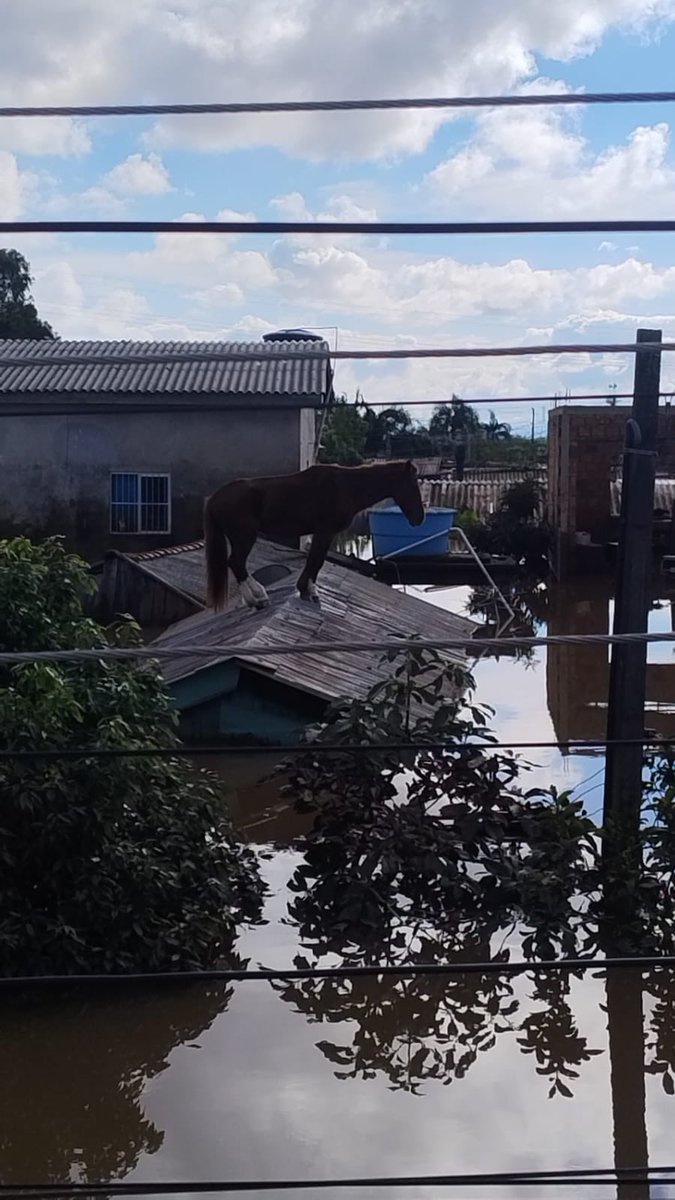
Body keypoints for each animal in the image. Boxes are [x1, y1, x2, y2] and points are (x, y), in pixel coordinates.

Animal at [200, 456, 420, 609]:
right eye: (413, 485)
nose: (418, 518)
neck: (346, 487)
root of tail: (214, 498)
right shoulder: (325, 531)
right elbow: (316, 560)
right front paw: (310, 591)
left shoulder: (321, 533)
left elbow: (314, 559)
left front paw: (305, 589)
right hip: (245, 537)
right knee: (236, 563)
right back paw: (258, 598)